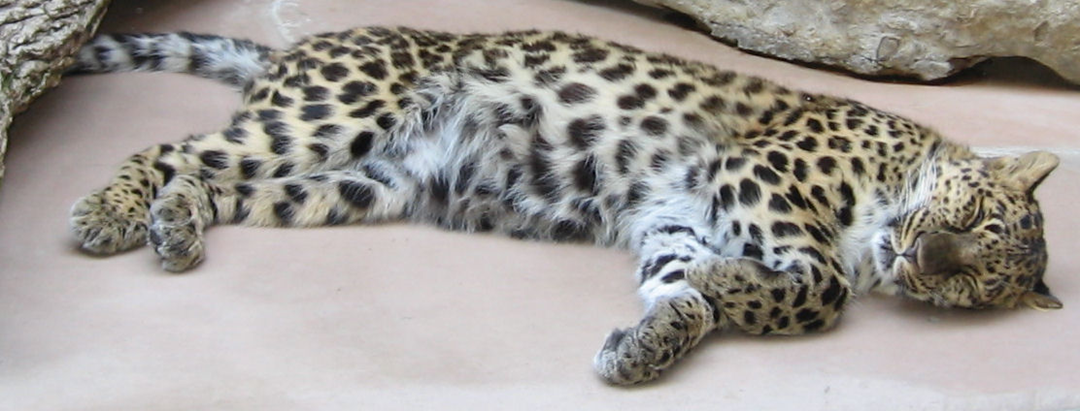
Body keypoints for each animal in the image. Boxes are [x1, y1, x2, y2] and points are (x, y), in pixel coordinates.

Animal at [67, 26, 1062, 385]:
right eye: (967, 224)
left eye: (971, 286)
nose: (922, 263)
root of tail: (292, 48)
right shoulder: (754, 171)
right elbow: (820, 291)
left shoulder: (673, 216)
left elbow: (696, 289)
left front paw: (648, 342)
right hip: (336, 116)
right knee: (169, 149)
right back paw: (109, 213)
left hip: (362, 182)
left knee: (216, 178)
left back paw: (175, 223)